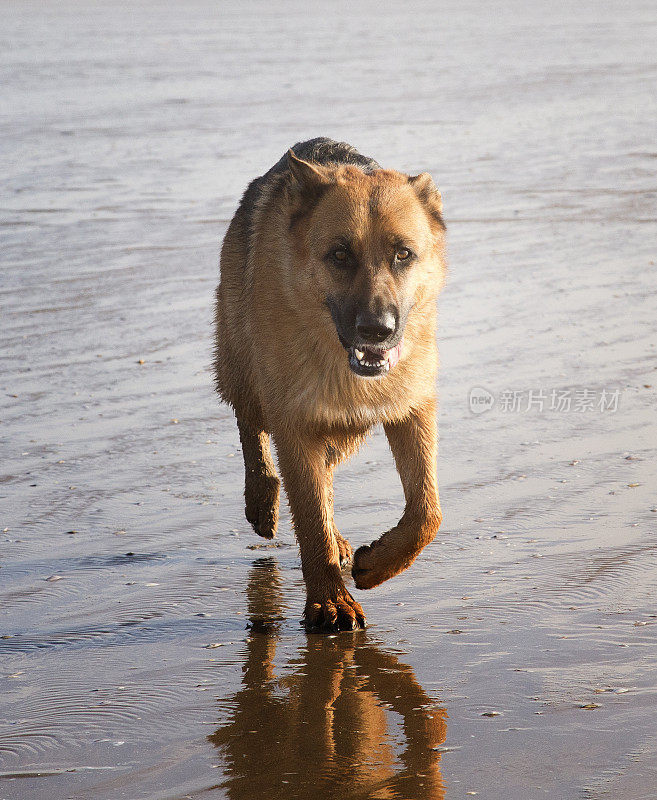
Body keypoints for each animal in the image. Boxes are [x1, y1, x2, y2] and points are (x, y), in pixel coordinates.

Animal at [214, 139, 446, 632]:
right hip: (242, 368)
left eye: (403, 254)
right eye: (340, 255)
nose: (377, 330)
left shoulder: (412, 409)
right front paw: (328, 601)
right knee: (250, 423)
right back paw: (261, 495)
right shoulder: (296, 425)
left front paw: (377, 565)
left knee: (327, 476)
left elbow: (426, 513)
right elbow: (310, 521)